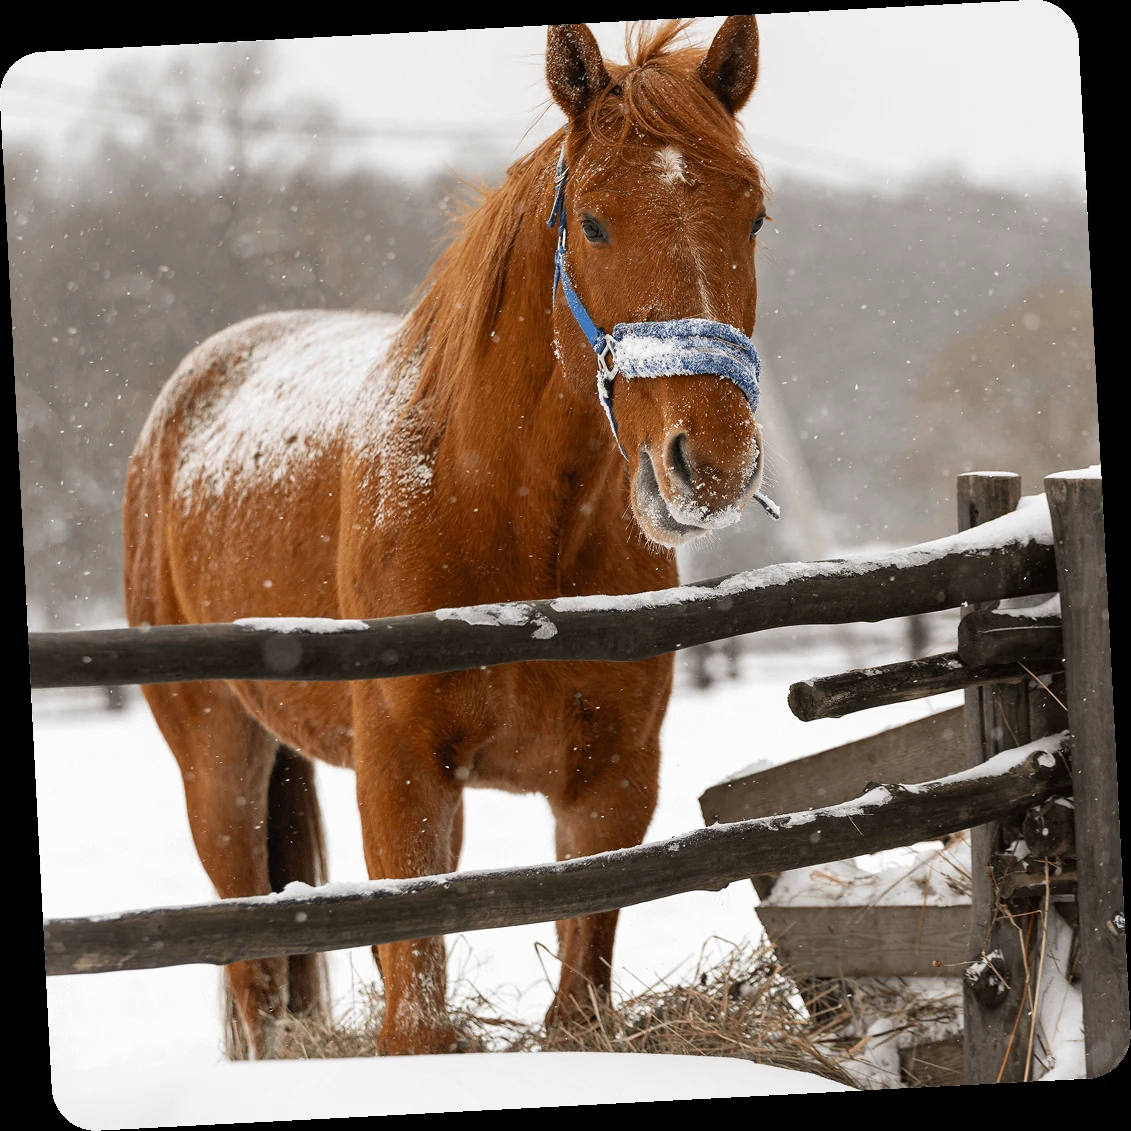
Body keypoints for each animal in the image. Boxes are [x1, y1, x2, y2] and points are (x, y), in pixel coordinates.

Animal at [123, 18, 771, 1058]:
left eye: (752, 216)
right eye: (594, 222)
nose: (708, 461)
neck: (513, 529)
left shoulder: (611, 785)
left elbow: (575, 1006)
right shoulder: (401, 781)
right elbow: (415, 1023)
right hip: (218, 764)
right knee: (252, 975)